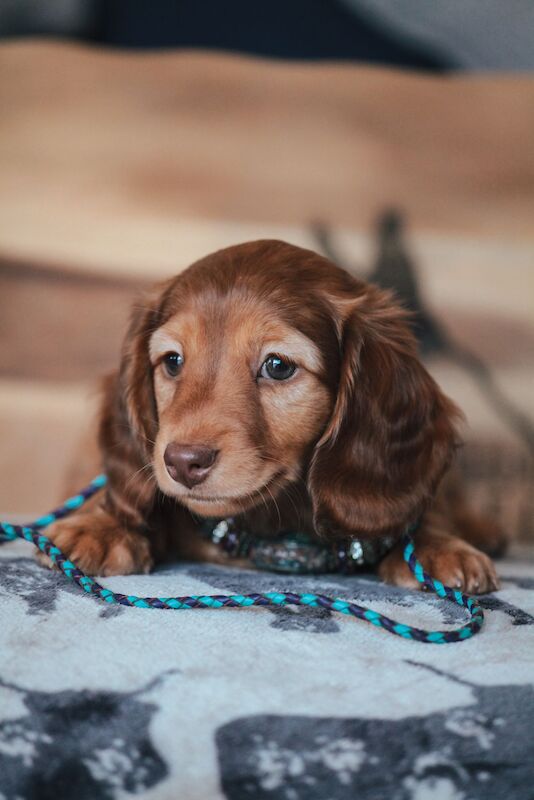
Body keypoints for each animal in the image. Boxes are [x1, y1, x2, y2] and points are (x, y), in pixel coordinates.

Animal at [40, 241, 502, 592]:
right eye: (172, 361)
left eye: (277, 366)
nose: (183, 462)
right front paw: (102, 524)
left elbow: (425, 507)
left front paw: (435, 544)